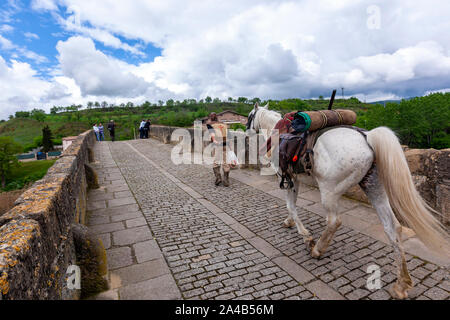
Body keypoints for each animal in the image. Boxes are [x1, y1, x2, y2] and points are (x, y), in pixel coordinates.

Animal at [248, 103, 450, 300]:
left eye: (250, 116)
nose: (247, 130)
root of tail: (367, 137)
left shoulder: (287, 177)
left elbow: (291, 205)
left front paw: (304, 233)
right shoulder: (293, 178)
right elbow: (291, 205)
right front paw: (290, 222)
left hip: (329, 190)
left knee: (334, 221)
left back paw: (317, 249)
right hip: (374, 187)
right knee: (393, 228)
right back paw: (401, 284)